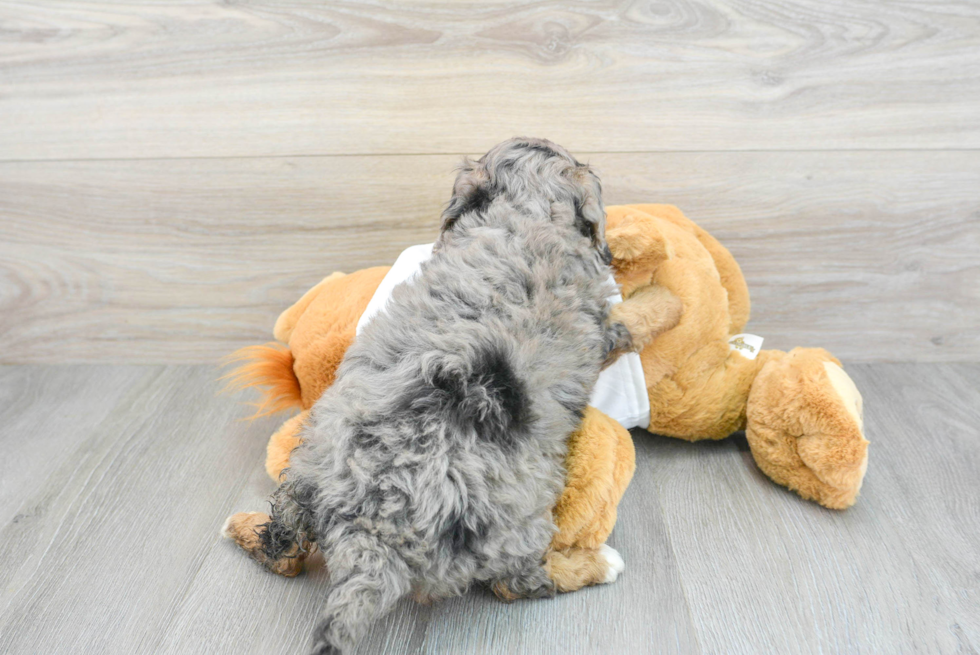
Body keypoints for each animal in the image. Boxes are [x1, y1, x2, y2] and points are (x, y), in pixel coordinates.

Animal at [226, 137, 664, 652]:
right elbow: (636, 319)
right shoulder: (599, 332)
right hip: (516, 526)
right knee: (517, 583)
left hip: (304, 473)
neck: (521, 211)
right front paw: (668, 302)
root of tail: (370, 533)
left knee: (284, 549)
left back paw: (243, 529)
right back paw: (597, 563)